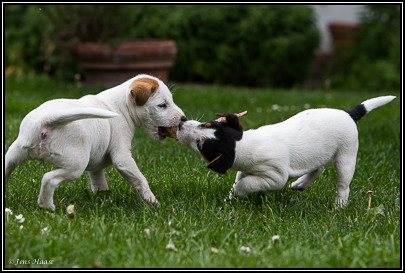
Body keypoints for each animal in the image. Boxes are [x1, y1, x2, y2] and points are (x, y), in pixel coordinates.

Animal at [5, 74, 185, 210]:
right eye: (162, 105)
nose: (183, 119)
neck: (120, 106)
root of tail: (45, 121)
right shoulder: (122, 157)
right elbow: (140, 179)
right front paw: (153, 202)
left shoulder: (96, 167)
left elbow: (100, 184)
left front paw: (103, 201)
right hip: (76, 165)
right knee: (49, 179)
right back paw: (47, 207)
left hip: (13, 155)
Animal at [176, 96, 392, 205]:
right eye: (207, 123)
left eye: (201, 144)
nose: (180, 124)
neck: (244, 143)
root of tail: (349, 114)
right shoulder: (244, 169)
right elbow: (239, 180)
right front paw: (230, 198)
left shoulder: (274, 176)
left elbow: (246, 184)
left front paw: (239, 193)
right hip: (318, 153)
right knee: (318, 168)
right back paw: (300, 184)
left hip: (346, 156)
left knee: (343, 184)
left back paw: (339, 205)